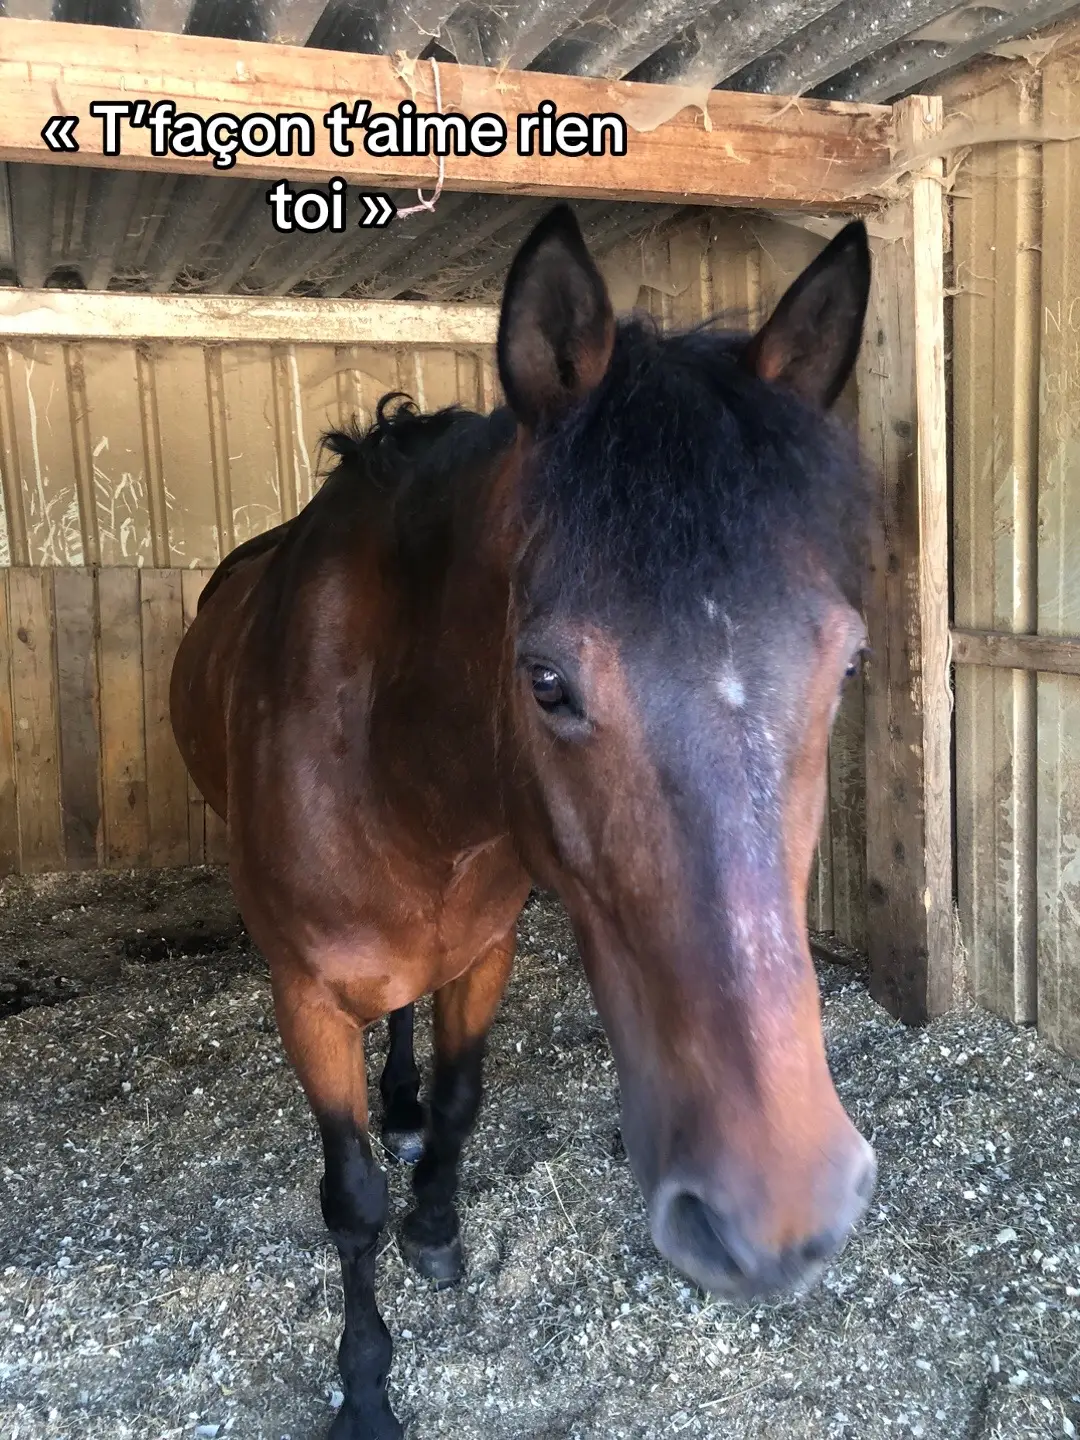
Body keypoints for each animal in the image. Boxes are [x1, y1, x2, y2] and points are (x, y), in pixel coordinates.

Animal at [169, 205, 881, 1440]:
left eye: (845, 664)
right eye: (545, 681)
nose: (780, 1212)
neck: (397, 768)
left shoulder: (484, 949)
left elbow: (461, 1101)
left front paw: (438, 1228)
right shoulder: (304, 996)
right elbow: (349, 1200)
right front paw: (366, 1387)